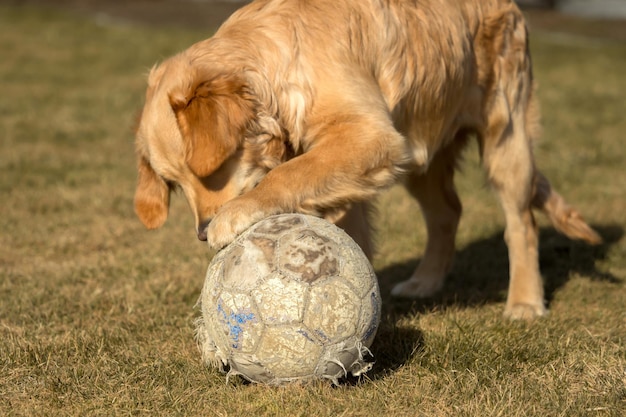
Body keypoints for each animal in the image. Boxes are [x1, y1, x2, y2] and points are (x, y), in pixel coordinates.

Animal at [133, 0, 600, 320]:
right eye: (174, 185)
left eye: (209, 171)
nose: (201, 231)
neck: (281, 59)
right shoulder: (368, 159)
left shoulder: (371, 136)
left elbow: (287, 173)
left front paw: (237, 213)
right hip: (420, 150)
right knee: (448, 212)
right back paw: (425, 281)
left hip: (506, 138)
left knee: (521, 224)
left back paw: (525, 301)